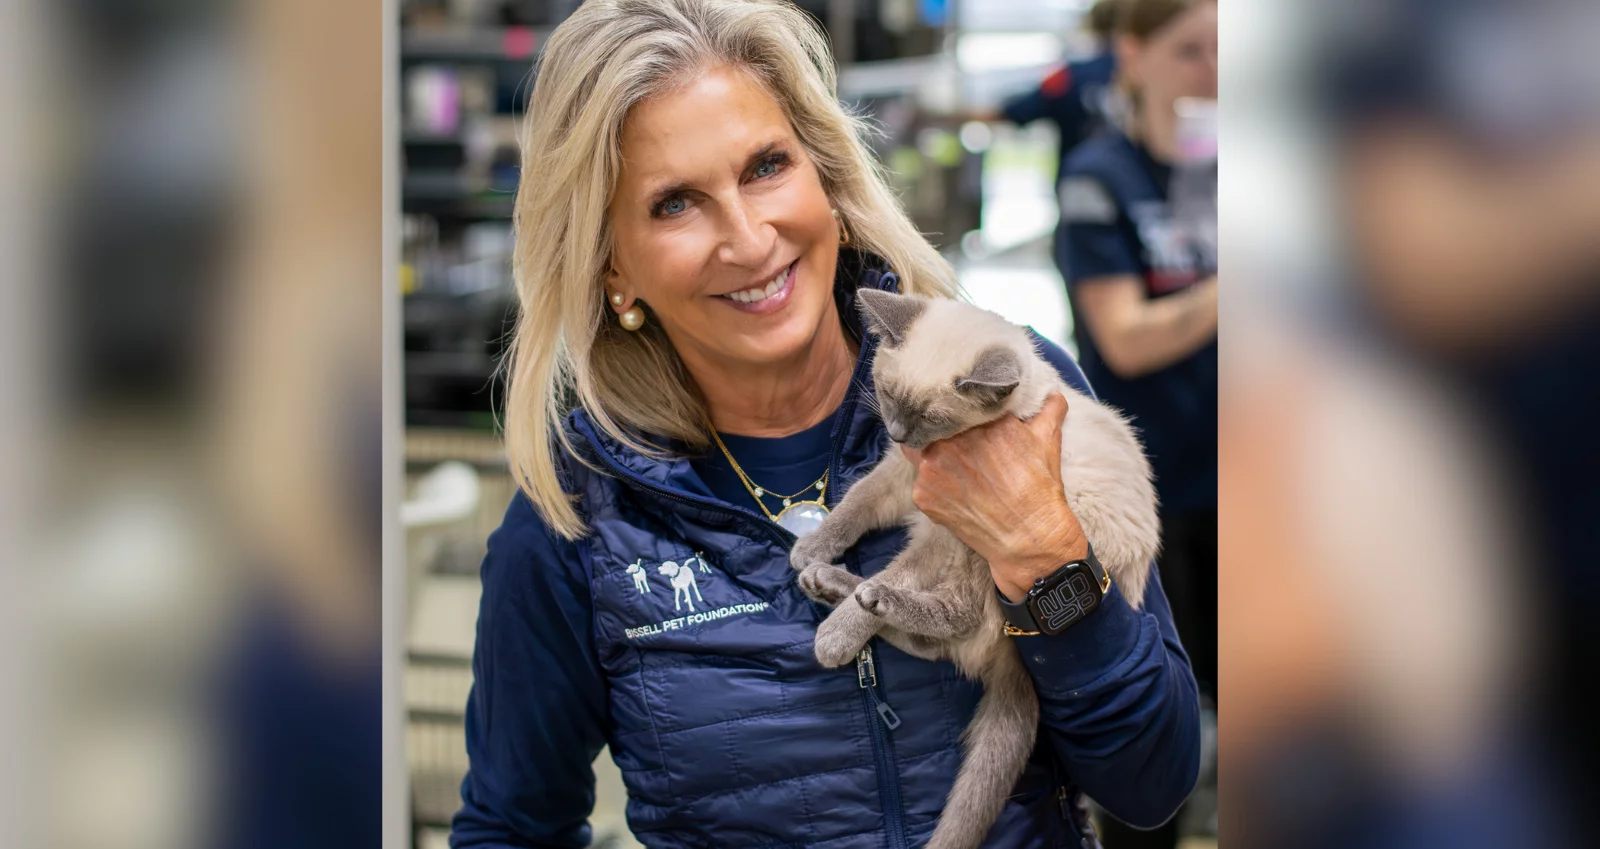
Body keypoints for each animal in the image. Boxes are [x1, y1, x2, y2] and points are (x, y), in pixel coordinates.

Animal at [793, 290, 1158, 849]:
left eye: (930, 416)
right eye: (888, 394)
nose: (896, 432)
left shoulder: (945, 522)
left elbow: (896, 572)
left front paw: (837, 631)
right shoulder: (900, 478)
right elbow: (852, 506)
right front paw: (809, 549)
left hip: (987, 548)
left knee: (953, 612)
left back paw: (848, 605)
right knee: (941, 642)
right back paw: (824, 582)